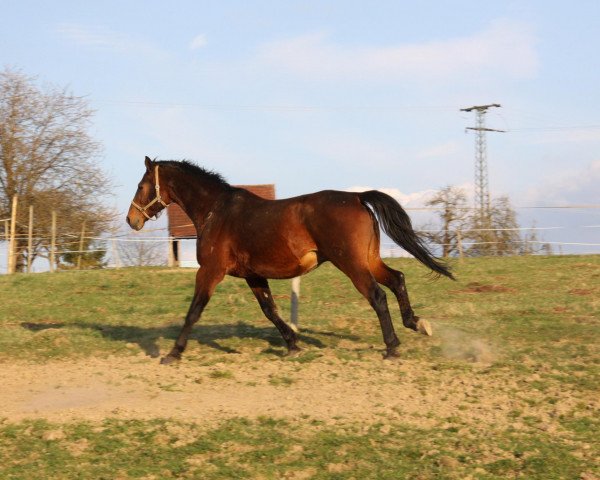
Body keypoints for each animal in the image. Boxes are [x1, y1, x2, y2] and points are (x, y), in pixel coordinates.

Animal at [127, 158, 454, 364]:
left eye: (142, 185)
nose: (131, 220)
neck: (215, 212)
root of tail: (358, 197)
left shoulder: (210, 271)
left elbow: (193, 312)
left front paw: (173, 353)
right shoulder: (253, 275)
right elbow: (270, 310)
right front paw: (293, 345)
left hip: (351, 263)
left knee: (377, 295)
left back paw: (392, 347)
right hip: (369, 259)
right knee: (397, 279)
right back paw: (417, 323)